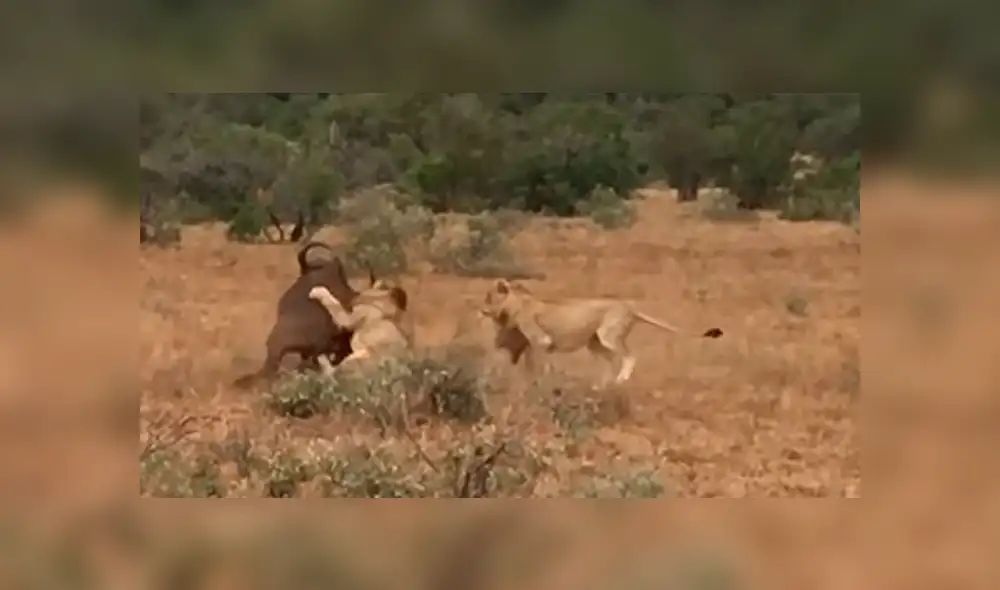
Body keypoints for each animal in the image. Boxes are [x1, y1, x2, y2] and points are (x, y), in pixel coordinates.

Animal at [481, 279, 723, 386]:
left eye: (489, 297)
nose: (481, 309)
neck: (515, 304)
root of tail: (628, 306)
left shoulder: (541, 340)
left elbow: (537, 363)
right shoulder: (528, 344)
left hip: (608, 335)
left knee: (628, 356)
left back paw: (619, 381)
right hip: (594, 342)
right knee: (609, 360)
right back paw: (600, 385)